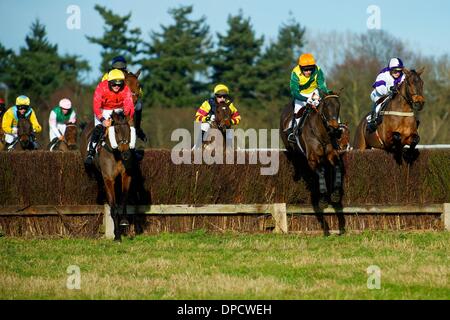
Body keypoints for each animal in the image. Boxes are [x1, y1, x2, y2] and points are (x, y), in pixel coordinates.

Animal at [80, 110, 134, 240]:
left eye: (130, 130)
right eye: (116, 130)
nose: (126, 154)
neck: (117, 155)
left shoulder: (126, 176)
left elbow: (124, 199)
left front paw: (124, 221)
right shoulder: (108, 179)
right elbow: (113, 205)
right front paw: (117, 235)